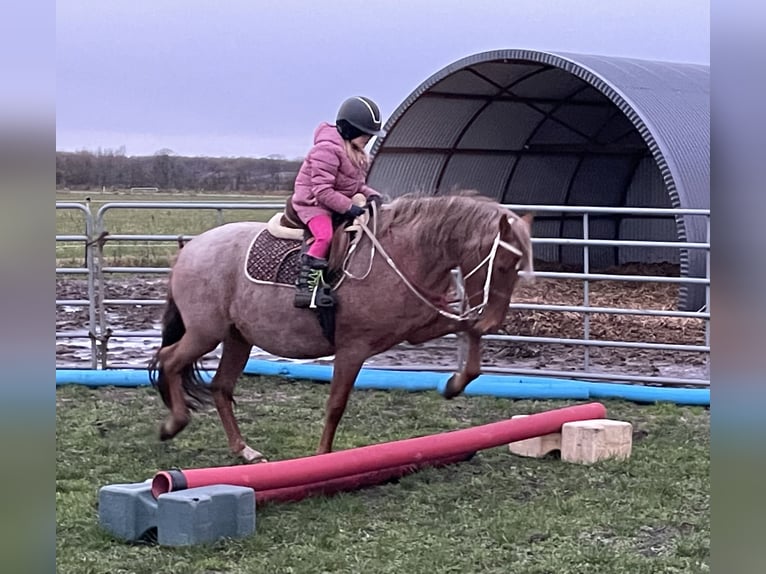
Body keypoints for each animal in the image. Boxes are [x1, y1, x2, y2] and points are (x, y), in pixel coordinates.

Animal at [148, 194, 536, 464]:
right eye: (504, 263)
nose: (494, 319)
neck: (401, 254)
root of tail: (190, 250)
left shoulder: (418, 329)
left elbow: (469, 332)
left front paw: (454, 384)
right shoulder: (353, 348)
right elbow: (336, 403)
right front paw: (322, 456)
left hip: (237, 338)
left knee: (220, 387)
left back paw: (244, 450)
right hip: (205, 333)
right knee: (168, 360)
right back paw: (172, 424)